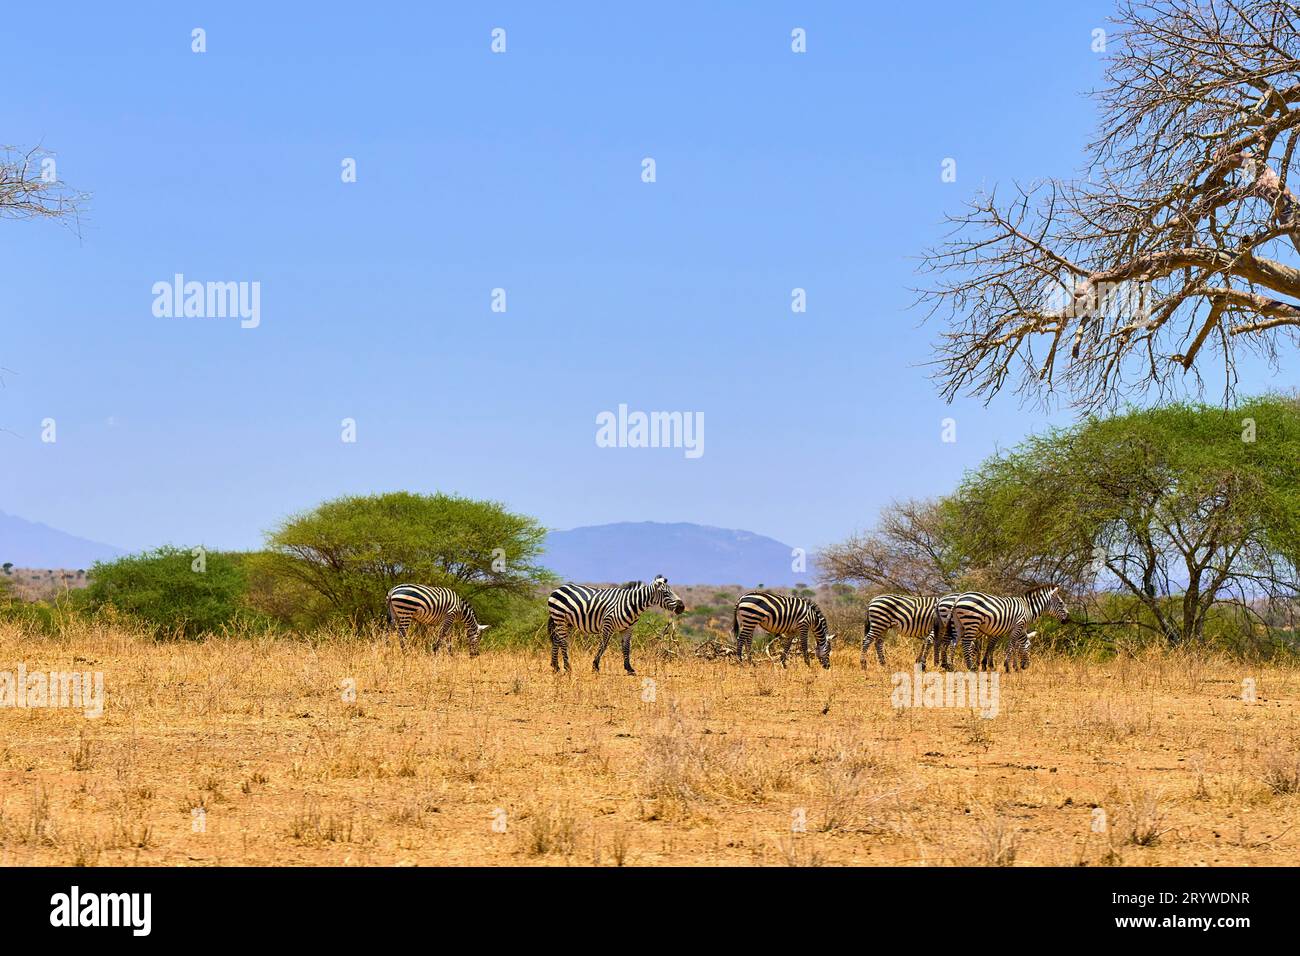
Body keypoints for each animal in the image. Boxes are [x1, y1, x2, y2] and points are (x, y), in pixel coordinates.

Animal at [543, 572, 686, 676]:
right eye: (666, 593)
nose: (682, 607)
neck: (632, 604)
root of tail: (559, 588)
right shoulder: (608, 624)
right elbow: (603, 645)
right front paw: (595, 666)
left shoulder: (628, 629)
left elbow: (626, 648)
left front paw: (629, 668)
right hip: (560, 618)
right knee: (562, 641)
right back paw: (567, 667)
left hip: (567, 622)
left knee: (557, 639)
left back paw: (555, 667)